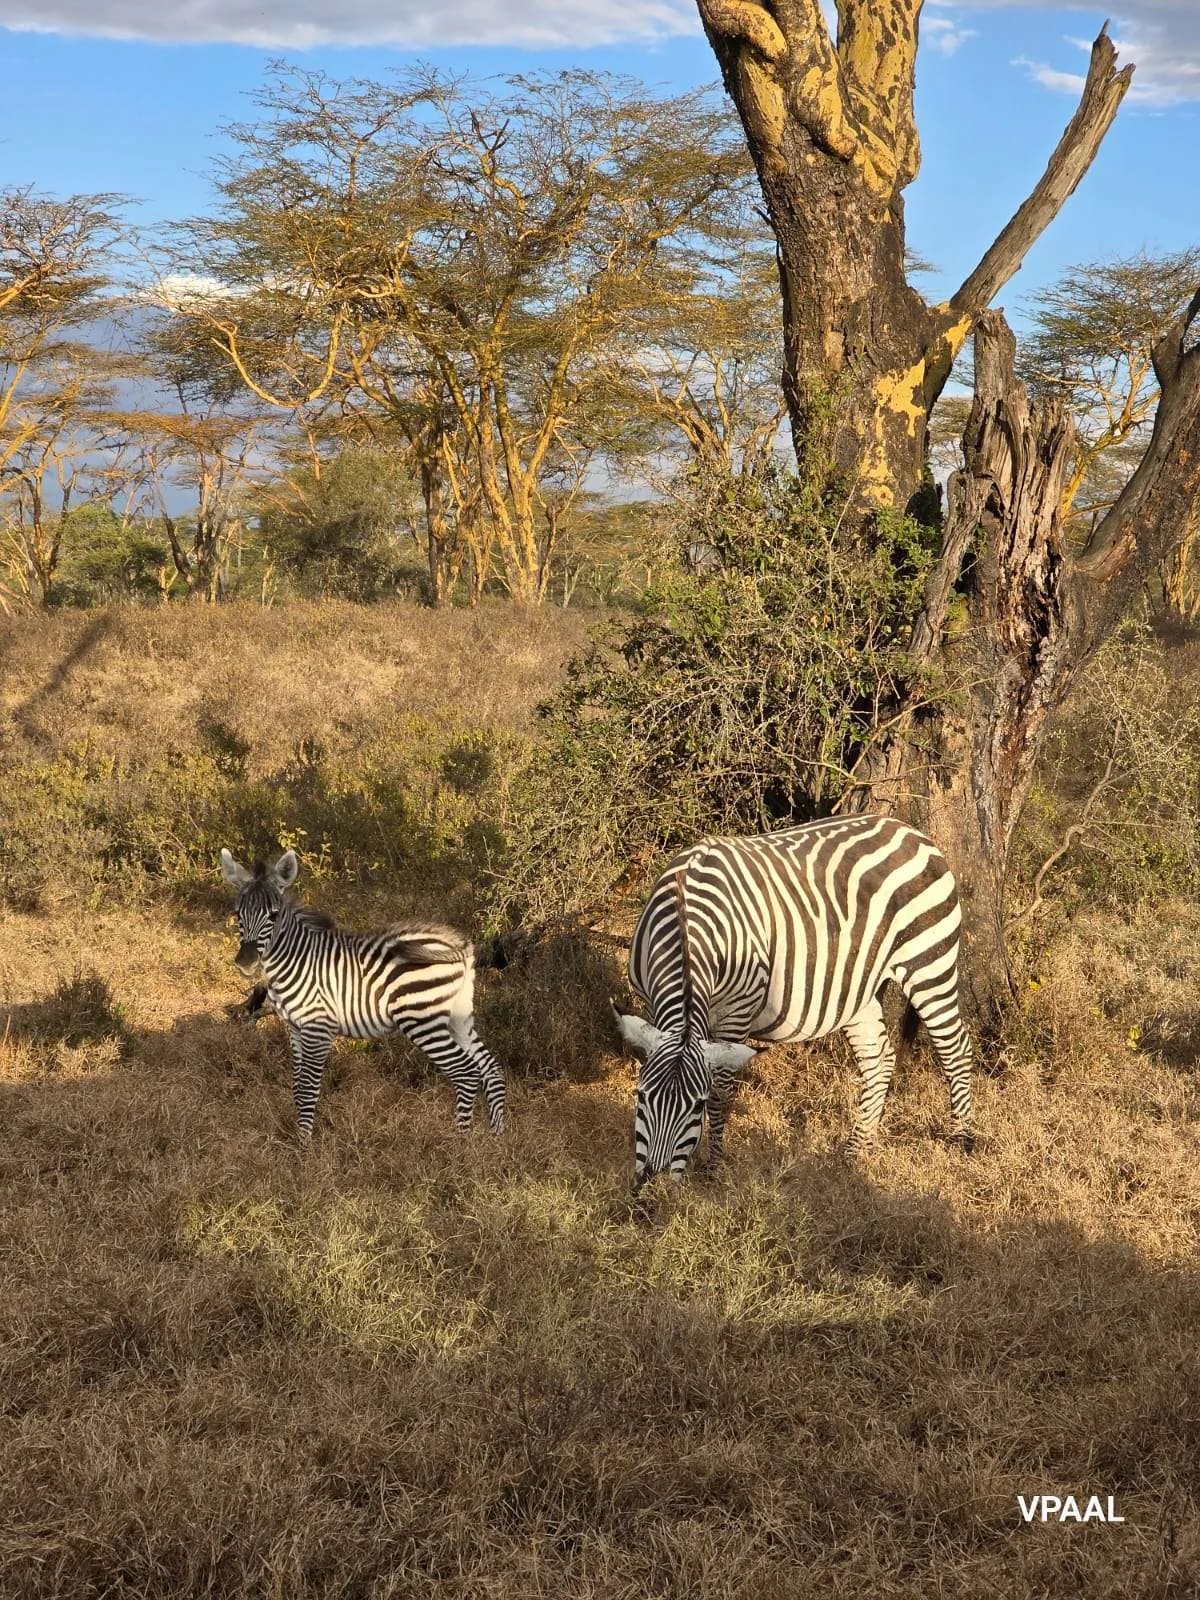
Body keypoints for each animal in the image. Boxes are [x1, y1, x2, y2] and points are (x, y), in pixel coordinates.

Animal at [220, 849, 506, 1144]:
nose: (245, 962)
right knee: (491, 1068)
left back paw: (462, 1142)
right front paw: (299, 1137)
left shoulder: (318, 1027)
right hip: (459, 1016)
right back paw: (496, 1138)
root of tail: (460, 942)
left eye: (273, 915)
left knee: (467, 1073)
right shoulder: (294, 1028)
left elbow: (308, 1088)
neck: (296, 958)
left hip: (422, 1020)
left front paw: (304, 1146)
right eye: (237, 913)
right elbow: (298, 1088)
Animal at [611, 815, 975, 1192]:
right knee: (879, 1059)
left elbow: (722, 1092)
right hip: (859, 990)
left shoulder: (738, 1011)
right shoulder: (652, 1005)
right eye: (640, 1097)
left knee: (956, 1048)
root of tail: (910, 830)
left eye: (696, 1107)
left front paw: (712, 1170)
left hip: (929, 962)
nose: (653, 1187)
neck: (685, 918)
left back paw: (961, 1141)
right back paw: (855, 1151)